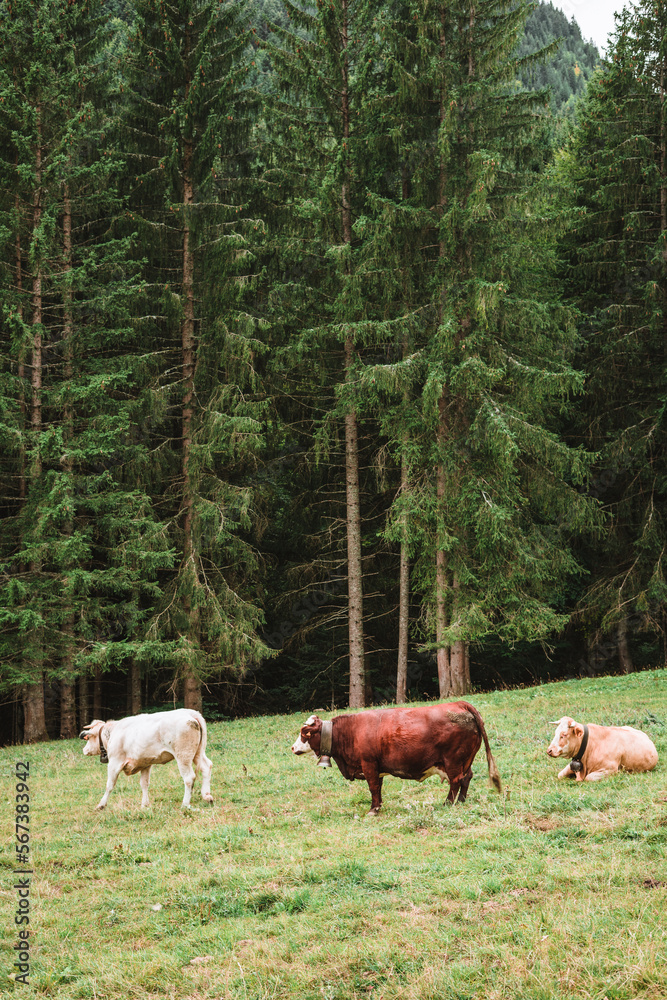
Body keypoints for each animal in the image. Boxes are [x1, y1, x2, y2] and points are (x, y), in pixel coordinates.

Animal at [80, 708, 214, 810]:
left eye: (88, 738)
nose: (84, 750)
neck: (112, 733)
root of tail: (190, 712)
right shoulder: (145, 764)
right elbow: (144, 784)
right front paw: (144, 805)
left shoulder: (114, 763)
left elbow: (110, 785)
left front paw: (101, 805)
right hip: (198, 753)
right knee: (206, 767)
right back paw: (207, 796)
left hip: (183, 756)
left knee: (189, 778)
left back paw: (185, 804)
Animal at [291, 701, 502, 815]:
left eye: (305, 733)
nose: (293, 747)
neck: (350, 731)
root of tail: (459, 703)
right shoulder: (377, 768)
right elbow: (378, 788)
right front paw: (378, 807)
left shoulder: (368, 764)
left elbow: (373, 787)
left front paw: (372, 810)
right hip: (466, 761)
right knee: (466, 778)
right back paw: (461, 802)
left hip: (453, 761)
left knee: (456, 781)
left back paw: (448, 803)